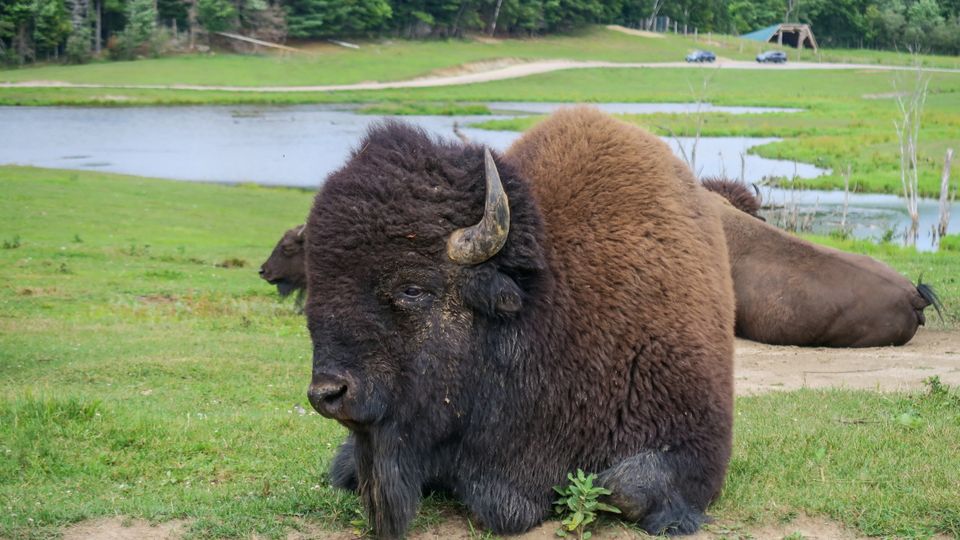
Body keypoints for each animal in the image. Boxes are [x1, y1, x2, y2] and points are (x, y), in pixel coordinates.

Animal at [302, 107, 736, 536]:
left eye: (412, 288)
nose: (328, 393)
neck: (546, 306)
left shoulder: (694, 441)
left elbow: (623, 487)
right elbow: (345, 471)